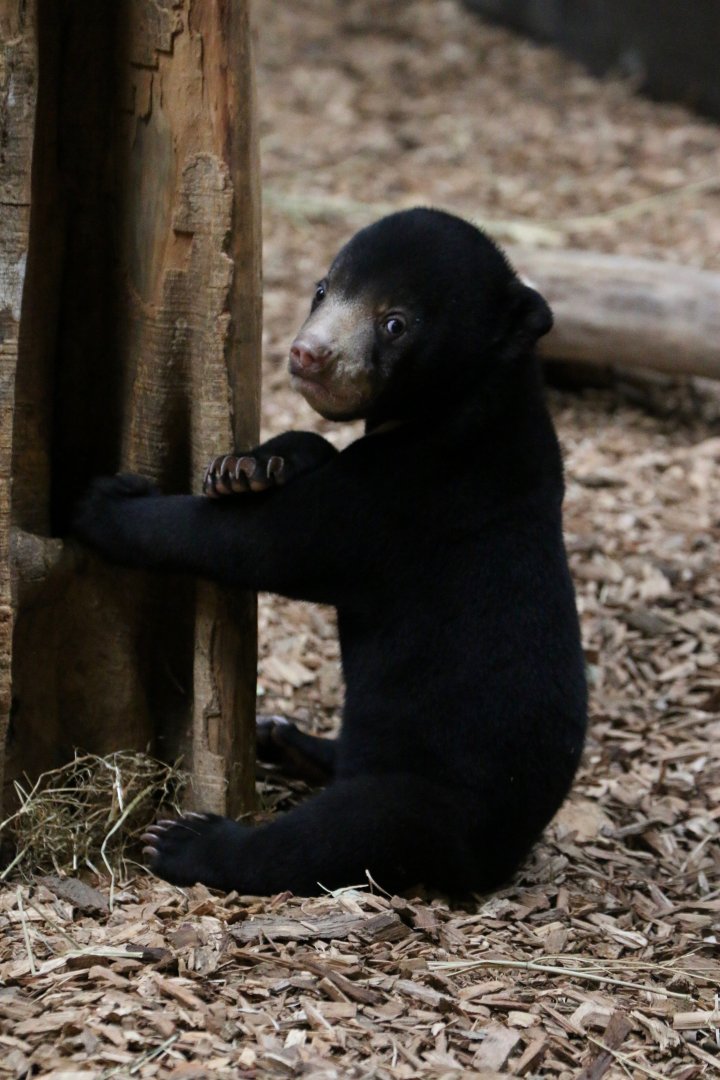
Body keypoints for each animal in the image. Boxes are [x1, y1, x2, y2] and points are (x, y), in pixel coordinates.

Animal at [73, 207, 587, 896]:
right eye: (323, 289)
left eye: (395, 323)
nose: (306, 354)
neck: (469, 401)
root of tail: (504, 854)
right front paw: (249, 466)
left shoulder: (408, 498)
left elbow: (264, 541)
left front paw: (102, 506)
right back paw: (282, 737)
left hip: (433, 798)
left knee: (337, 834)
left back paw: (189, 840)